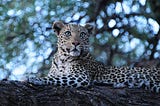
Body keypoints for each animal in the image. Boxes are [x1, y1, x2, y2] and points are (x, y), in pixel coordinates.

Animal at [28, 21, 160, 93]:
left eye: (82, 34)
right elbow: (54, 76)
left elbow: (55, 78)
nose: (76, 43)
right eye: (68, 33)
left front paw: (35, 78)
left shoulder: (81, 76)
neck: (63, 59)